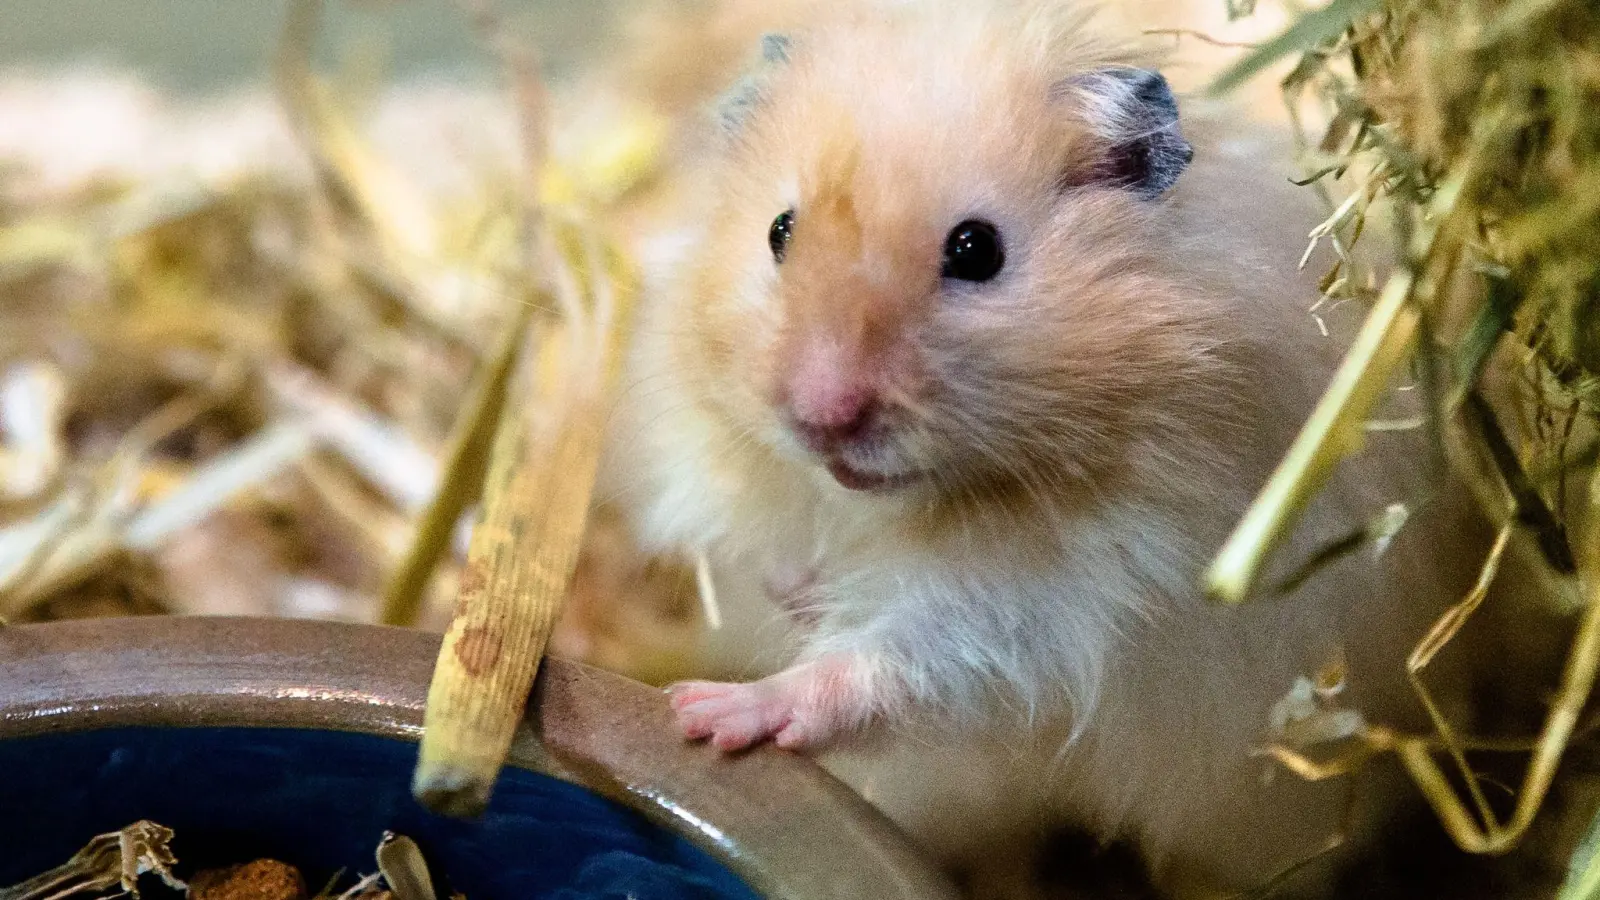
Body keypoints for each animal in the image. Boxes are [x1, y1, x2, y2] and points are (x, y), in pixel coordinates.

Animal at [598, 3, 1523, 890]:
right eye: (780, 232)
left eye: (977, 249)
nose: (822, 414)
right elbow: (761, 553)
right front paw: (793, 596)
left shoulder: (1049, 602)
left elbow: (891, 663)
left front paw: (708, 715)